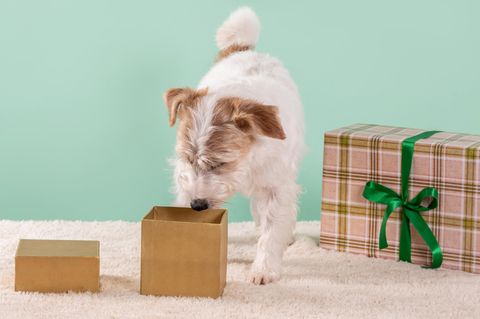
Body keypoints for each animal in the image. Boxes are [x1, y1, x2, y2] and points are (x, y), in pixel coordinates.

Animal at [165, 7, 306, 286]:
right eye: (189, 159)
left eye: (221, 162)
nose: (197, 205)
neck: (248, 159)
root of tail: (244, 50)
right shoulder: (184, 178)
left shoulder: (276, 186)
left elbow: (272, 228)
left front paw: (264, 268)